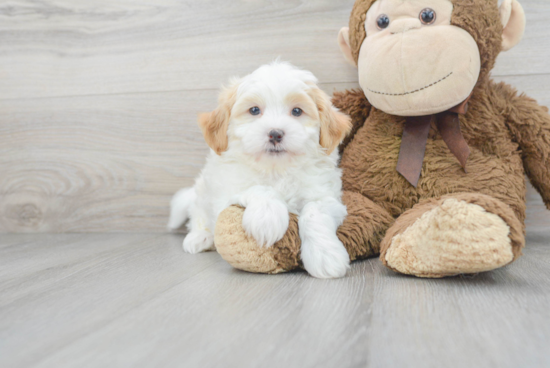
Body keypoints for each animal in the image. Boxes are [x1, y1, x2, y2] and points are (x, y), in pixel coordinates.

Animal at [168, 61, 354, 278]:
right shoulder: (227, 189)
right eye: (254, 110)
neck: (276, 170)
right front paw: (267, 217)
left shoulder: (326, 196)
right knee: (197, 213)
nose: (275, 134)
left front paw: (325, 255)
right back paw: (199, 237)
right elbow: (260, 189)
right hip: (203, 191)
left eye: (297, 111)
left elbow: (314, 212)